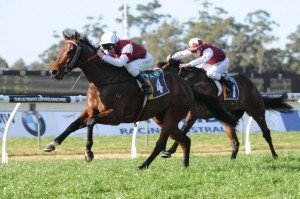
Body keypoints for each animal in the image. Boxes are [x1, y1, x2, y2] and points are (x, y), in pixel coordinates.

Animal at [44, 30, 237, 168]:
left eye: (70, 50)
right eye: (60, 50)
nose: (53, 72)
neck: (104, 81)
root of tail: (187, 86)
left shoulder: (116, 116)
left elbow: (91, 122)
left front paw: (89, 153)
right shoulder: (91, 109)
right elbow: (73, 124)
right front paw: (52, 144)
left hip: (172, 115)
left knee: (161, 142)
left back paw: (143, 165)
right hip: (162, 117)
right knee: (185, 140)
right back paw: (184, 166)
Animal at [158, 58, 292, 159]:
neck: (192, 83)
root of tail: (252, 85)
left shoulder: (193, 114)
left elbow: (183, 129)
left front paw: (169, 151)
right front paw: (165, 150)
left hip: (256, 111)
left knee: (266, 133)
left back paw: (275, 155)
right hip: (231, 118)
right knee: (235, 141)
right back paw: (232, 159)